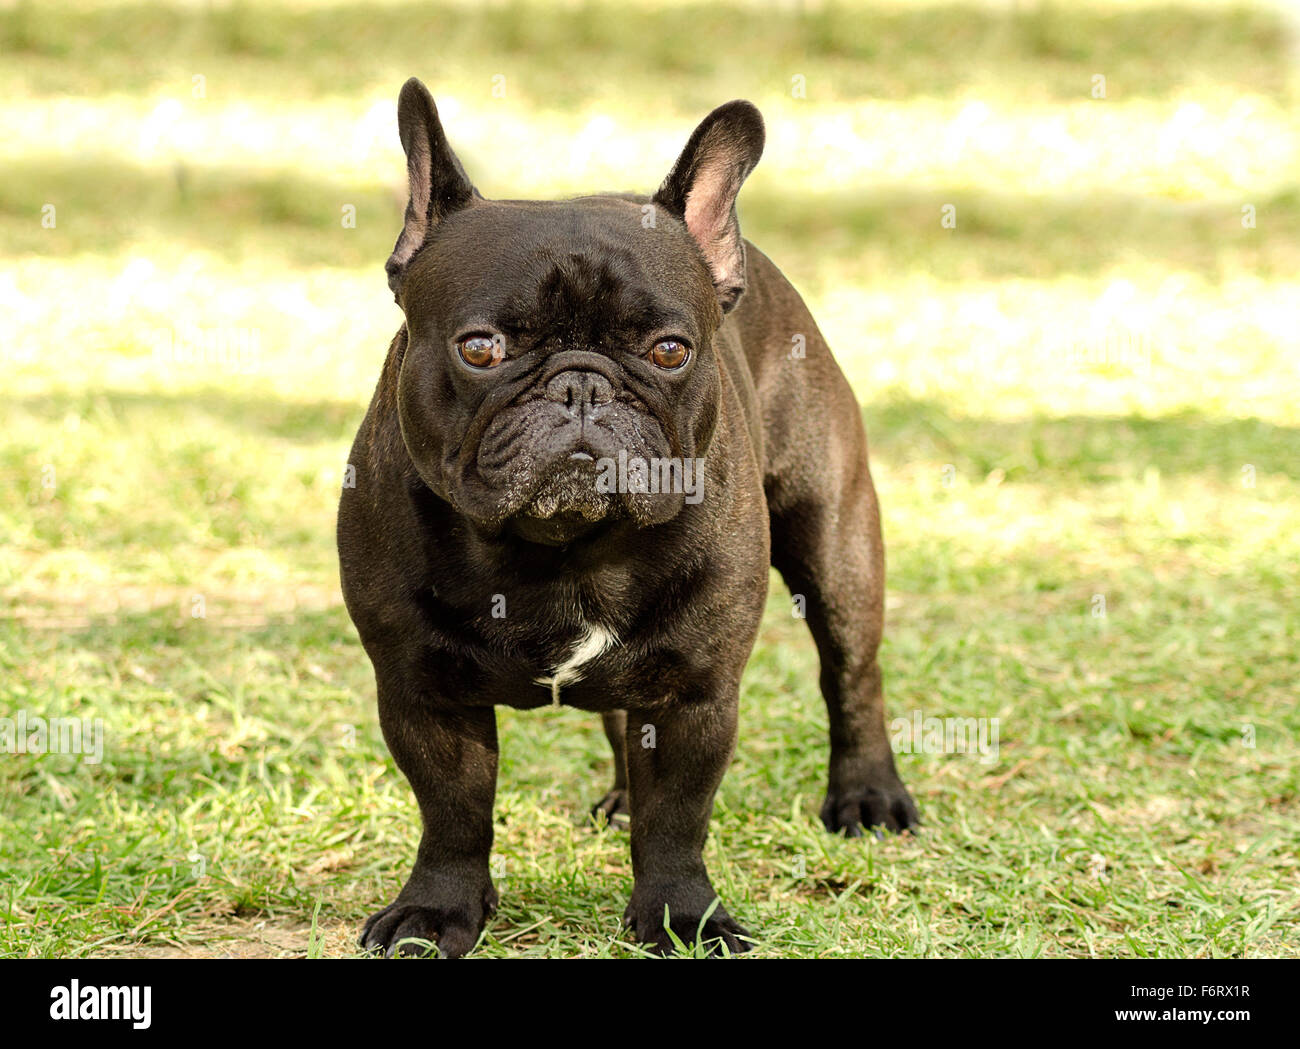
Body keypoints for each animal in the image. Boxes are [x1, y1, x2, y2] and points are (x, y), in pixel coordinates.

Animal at [340, 77, 920, 956]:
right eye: (481, 348)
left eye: (670, 350)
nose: (582, 383)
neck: (562, 546)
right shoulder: (422, 689)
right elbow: (453, 811)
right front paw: (437, 911)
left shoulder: (694, 693)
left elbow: (678, 818)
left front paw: (683, 916)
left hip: (836, 541)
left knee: (852, 671)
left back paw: (869, 796)